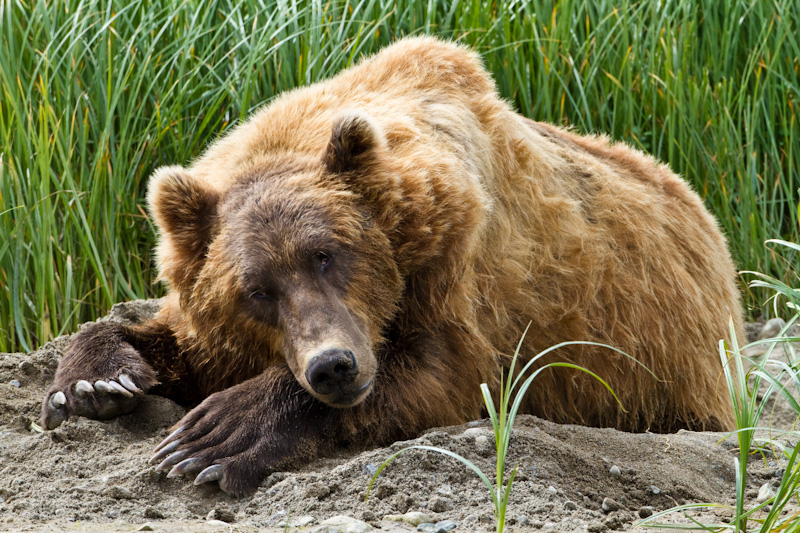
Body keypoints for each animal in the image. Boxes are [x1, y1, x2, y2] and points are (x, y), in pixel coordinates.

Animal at [42, 36, 744, 494]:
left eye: (328, 255)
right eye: (256, 290)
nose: (332, 367)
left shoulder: (465, 278)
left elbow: (444, 373)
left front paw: (215, 438)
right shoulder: (225, 325)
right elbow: (168, 341)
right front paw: (96, 381)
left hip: (674, 365)